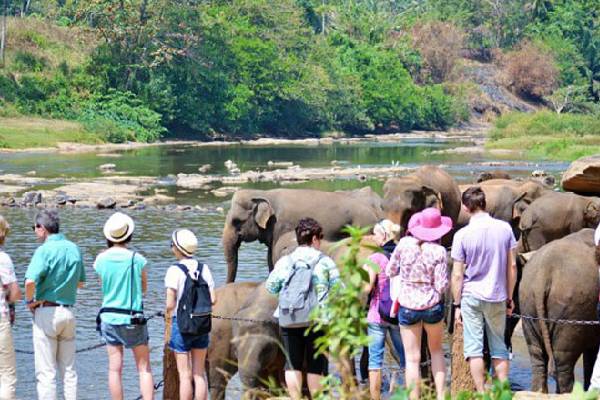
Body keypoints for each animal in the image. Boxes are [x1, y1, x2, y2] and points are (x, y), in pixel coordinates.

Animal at [223, 188, 382, 282]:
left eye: (236, 221)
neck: (263, 193)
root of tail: (375, 213)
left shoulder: (281, 225)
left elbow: (273, 256)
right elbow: (269, 257)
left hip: (362, 226)